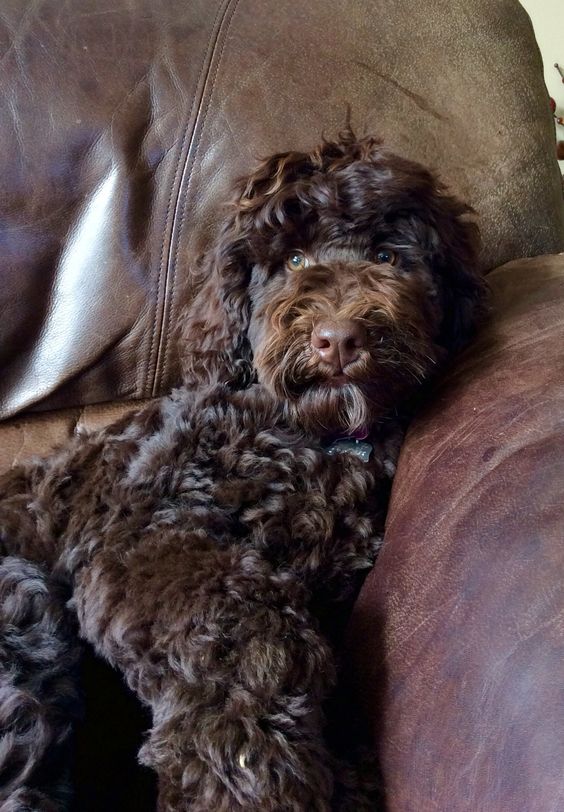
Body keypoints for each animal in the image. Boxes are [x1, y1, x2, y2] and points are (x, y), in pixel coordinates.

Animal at [0, 133, 484, 812]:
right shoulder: (140, 534)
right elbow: (247, 620)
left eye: (388, 255)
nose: (339, 338)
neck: (317, 438)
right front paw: (249, 770)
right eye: (294, 260)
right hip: (24, 600)